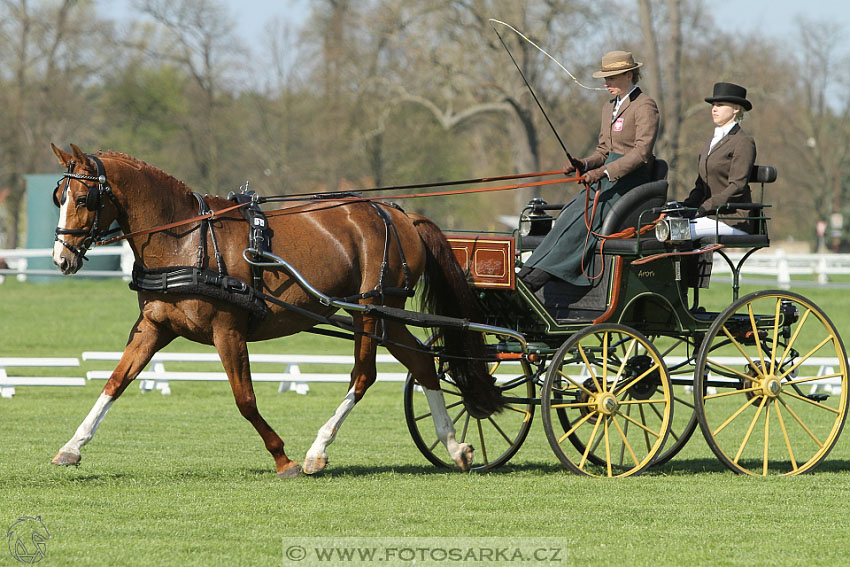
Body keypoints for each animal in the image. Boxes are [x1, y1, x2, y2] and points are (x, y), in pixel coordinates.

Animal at [49, 144, 500, 478]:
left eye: (85, 198)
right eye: (59, 198)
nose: (61, 259)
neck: (186, 239)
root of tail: (400, 213)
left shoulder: (228, 331)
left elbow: (245, 399)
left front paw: (283, 458)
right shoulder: (153, 326)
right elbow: (115, 381)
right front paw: (71, 447)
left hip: (370, 310)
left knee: (363, 375)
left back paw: (318, 450)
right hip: (386, 315)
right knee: (422, 361)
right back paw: (455, 447)